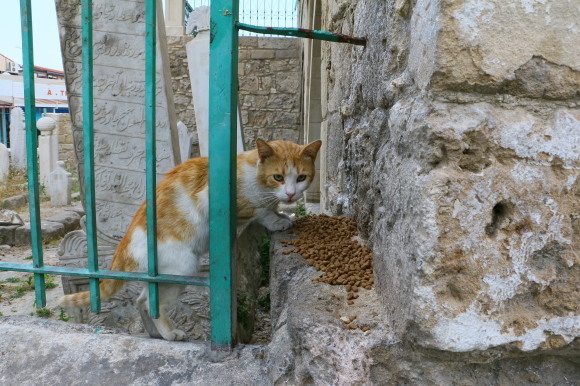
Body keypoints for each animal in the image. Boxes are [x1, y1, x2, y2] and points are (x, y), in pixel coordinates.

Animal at [60, 139, 322, 340]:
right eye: (278, 177)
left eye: (301, 177)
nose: (291, 194)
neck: (253, 174)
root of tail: (125, 245)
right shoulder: (217, 200)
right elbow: (260, 211)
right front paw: (277, 220)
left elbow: (271, 207)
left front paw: (282, 214)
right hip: (182, 267)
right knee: (151, 303)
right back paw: (169, 334)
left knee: (141, 300)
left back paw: (154, 333)